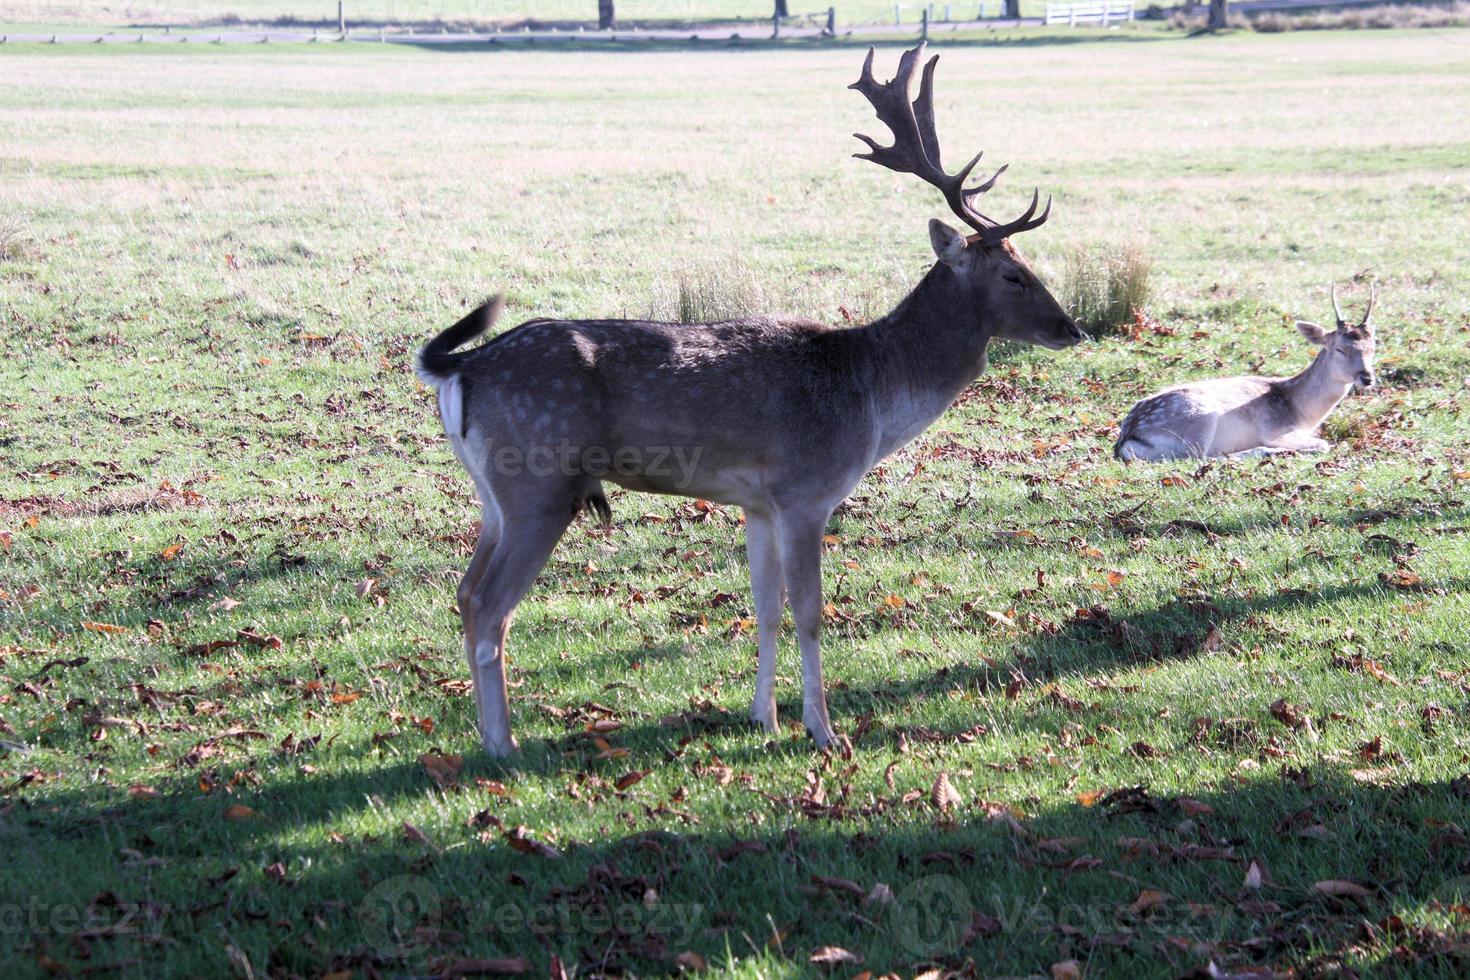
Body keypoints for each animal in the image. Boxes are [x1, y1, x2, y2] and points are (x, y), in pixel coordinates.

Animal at [420, 42, 1087, 758]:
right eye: (1013, 275)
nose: (1072, 328)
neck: (872, 393)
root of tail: (458, 367)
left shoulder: (757, 503)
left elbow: (764, 609)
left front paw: (762, 718)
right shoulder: (805, 490)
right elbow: (811, 612)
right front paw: (824, 731)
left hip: (496, 494)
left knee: (464, 591)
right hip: (539, 481)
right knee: (491, 603)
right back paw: (503, 746)